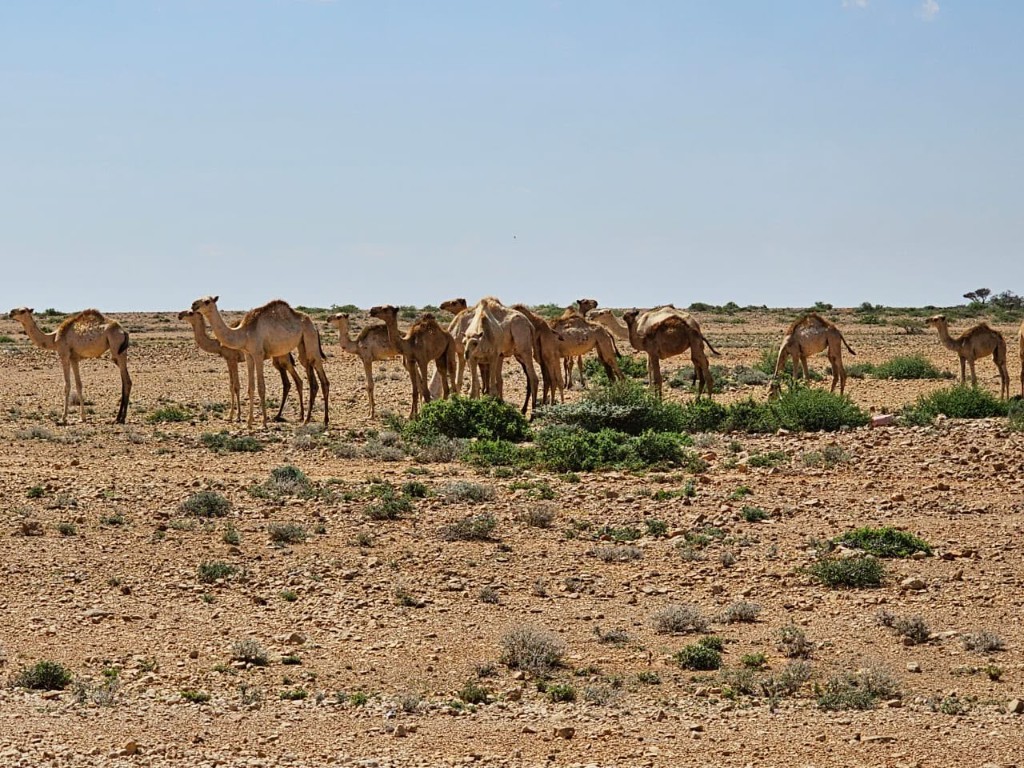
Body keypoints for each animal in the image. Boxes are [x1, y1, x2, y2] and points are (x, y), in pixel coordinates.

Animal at [191, 296, 330, 429]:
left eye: (207, 301)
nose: (193, 305)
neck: (244, 333)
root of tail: (314, 326)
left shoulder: (258, 354)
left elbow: (261, 387)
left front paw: (263, 423)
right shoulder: (248, 355)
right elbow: (251, 387)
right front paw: (249, 423)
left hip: (310, 338)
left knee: (322, 377)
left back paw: (324, 421)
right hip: (302, 345)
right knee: (310, 377)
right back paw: (306, 420)